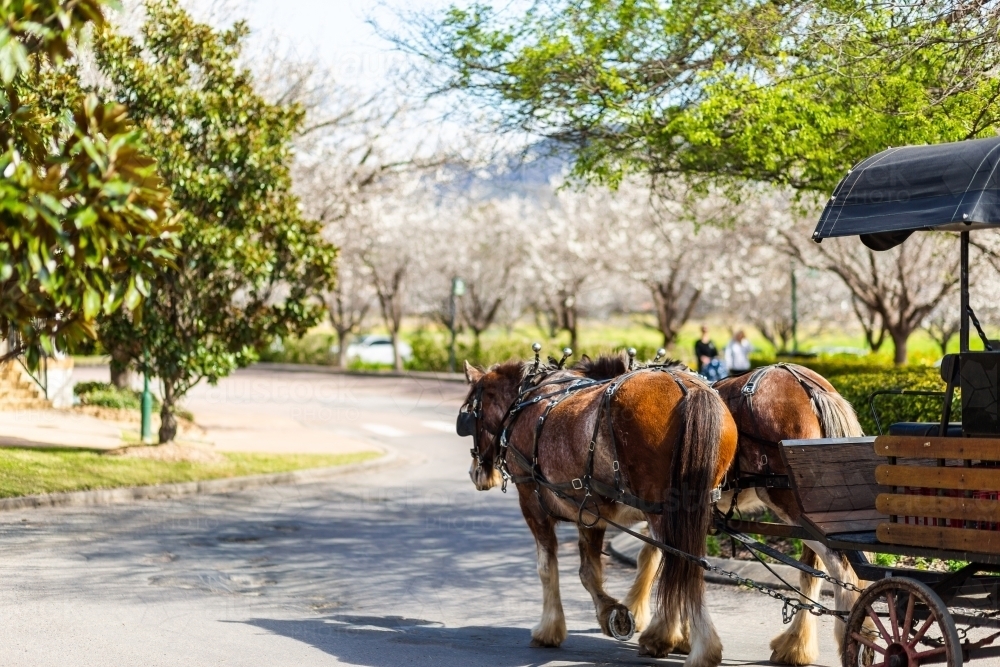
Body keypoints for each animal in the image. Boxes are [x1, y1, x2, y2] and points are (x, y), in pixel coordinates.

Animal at [459, 357, 738, 666]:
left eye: (470, 413)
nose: (475, 473)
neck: (526, 403)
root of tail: (689, 388)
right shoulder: (589, 512)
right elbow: (589, 570)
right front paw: (617, 614)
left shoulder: (532, 501)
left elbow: (550, 568)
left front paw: (552, 628)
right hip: (695, 508)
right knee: (689, 567)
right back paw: (684, 639)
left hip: (663, 511)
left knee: (680, 565)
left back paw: (694, 646)